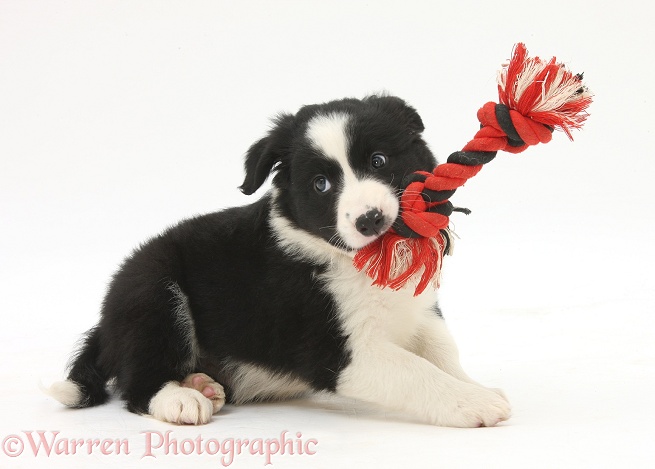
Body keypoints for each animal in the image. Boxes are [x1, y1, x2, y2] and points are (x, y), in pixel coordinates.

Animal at [50, 96, 512, 428]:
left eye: (379, 161)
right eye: (321, 184)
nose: (370, 219)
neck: (360, 260)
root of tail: (105, 324)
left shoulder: (420, 308)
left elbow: (442, 350)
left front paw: (477, 386)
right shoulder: (333, 349)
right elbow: (415, 371)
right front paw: (475, 403)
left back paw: (202, 383)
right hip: (152, 293)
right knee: (137, 384)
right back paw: (180, 397)